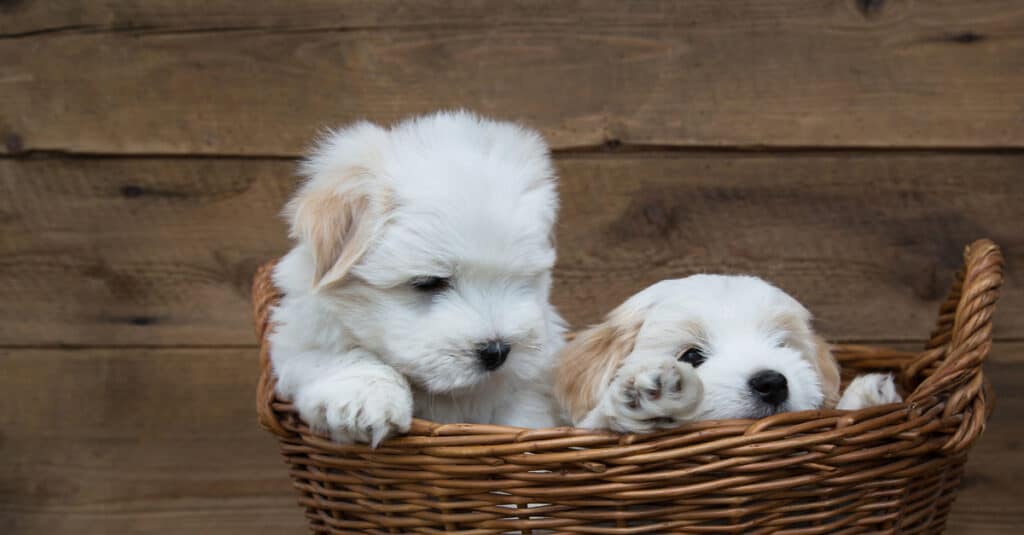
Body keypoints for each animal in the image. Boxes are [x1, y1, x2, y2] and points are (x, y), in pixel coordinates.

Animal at [268, 110, 565, 442]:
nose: (497, 351)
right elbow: (341, 354)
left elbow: (523, 415)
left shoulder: (529, 387)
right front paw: (367, 399)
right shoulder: (302, 339)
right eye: (428, 283)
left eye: (523, 278)